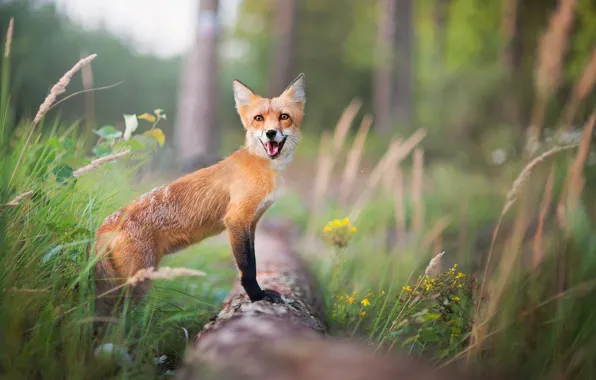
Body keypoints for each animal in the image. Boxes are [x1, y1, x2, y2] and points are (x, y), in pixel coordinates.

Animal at [93, 74, 308, 314]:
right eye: (258, 119)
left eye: (284, 117)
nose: (270, 133)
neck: (263, 165)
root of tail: (106, 224)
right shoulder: (236, 219)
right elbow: (247, 268)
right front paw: (256, 296)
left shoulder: (250, 223)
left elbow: (253, 259)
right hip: (137, 283)